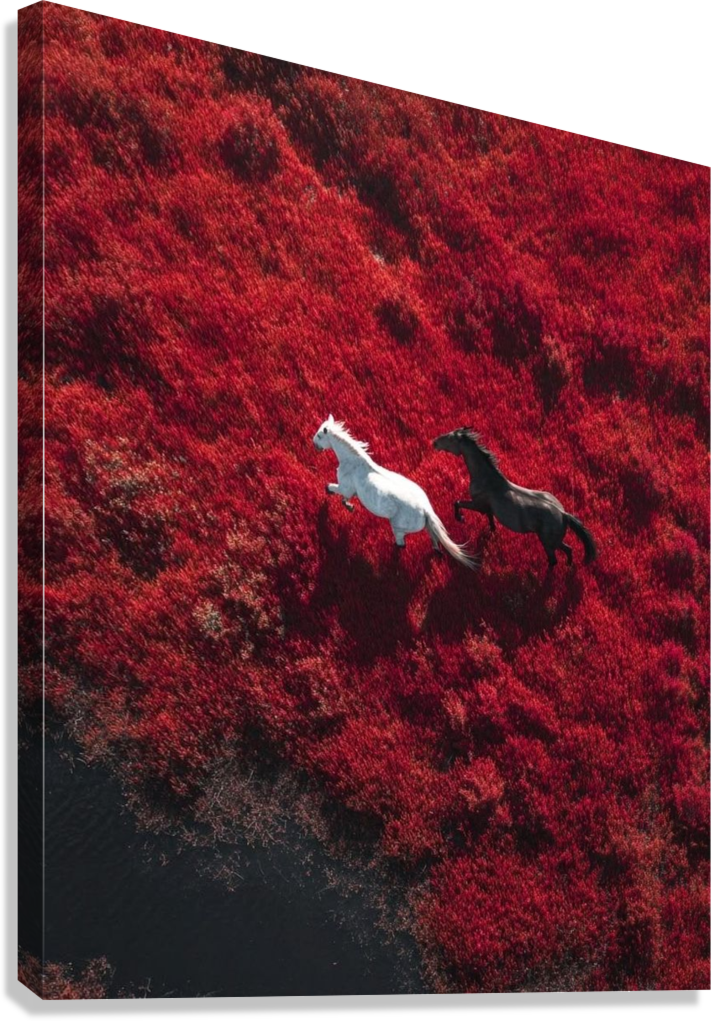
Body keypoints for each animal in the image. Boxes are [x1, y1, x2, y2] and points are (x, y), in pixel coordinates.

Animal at [313, 416, 477, 570]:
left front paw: (338, 504)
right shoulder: (349, 491)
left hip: (398, 527)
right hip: (425, 526)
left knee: (401, 545)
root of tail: (425, 510)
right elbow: (343, 498)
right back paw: (436, 553)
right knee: (433, 538)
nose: (314, 445)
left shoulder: (344, 487)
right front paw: (349, 507)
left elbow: (331, 488)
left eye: (320, 435)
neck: (353, 462)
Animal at [432, 427, 597, 569]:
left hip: (548, 542)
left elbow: (458, 502)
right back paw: (569, 566)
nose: (434, 442)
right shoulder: (487, 508)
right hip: (555, 541)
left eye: (450, 438)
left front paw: (460, 518)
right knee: (569, 550)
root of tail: (564, 514)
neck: (487, 478)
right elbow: (490, 519)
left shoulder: (478, 505)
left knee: (554, 560)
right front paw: (492, 531)